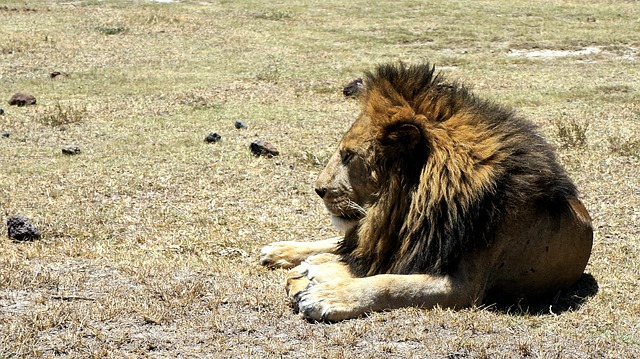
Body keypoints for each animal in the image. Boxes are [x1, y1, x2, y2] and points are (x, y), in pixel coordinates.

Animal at [258, 62, 592, 324]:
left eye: (349, 155)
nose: (319, 189)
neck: (415, 204)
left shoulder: (464, 286)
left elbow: (390, 283)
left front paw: (328, 297)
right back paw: (281, 252)